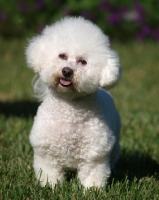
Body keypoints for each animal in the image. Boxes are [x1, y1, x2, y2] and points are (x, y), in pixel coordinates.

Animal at [25, 16, 121, 188]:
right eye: (62, 56)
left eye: (83, 61)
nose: (67, 71)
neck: (69, 111)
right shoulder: (47, 152)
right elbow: (49, 173)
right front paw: (50, 187)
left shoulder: (95, 155)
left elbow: (92, 175)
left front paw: (92, 190)